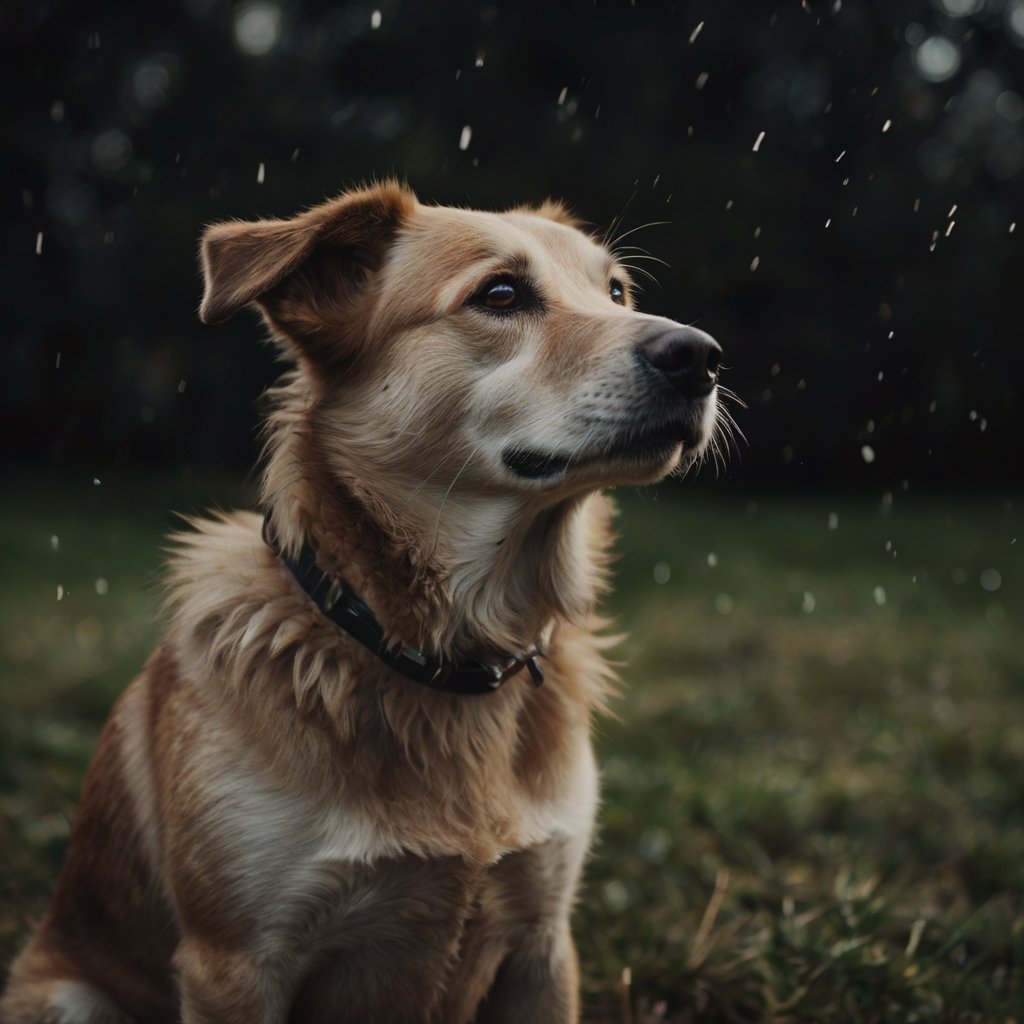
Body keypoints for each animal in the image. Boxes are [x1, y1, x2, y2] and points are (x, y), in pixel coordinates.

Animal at [2, 184, 720, 1024]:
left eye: (615, 293)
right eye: (500, 295)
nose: (701, 357)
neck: (434, 651)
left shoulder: (544, 944)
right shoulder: (234, 965)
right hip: (69, 996)